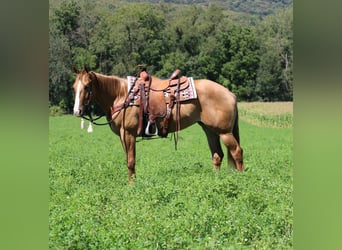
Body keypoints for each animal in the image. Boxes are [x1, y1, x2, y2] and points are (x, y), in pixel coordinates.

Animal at [72, 66, 244, 184]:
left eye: (87, 87)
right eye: (74, 87)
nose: (77, 111)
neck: (121, 95)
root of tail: (230, 93)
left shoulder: (128, 133)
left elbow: (131, 161)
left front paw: (131, 185)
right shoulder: (122, 135)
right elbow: (128, 159)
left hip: (224, 132)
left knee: (237, 152)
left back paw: (241, 178)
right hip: (210, 130)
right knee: (217, 155)